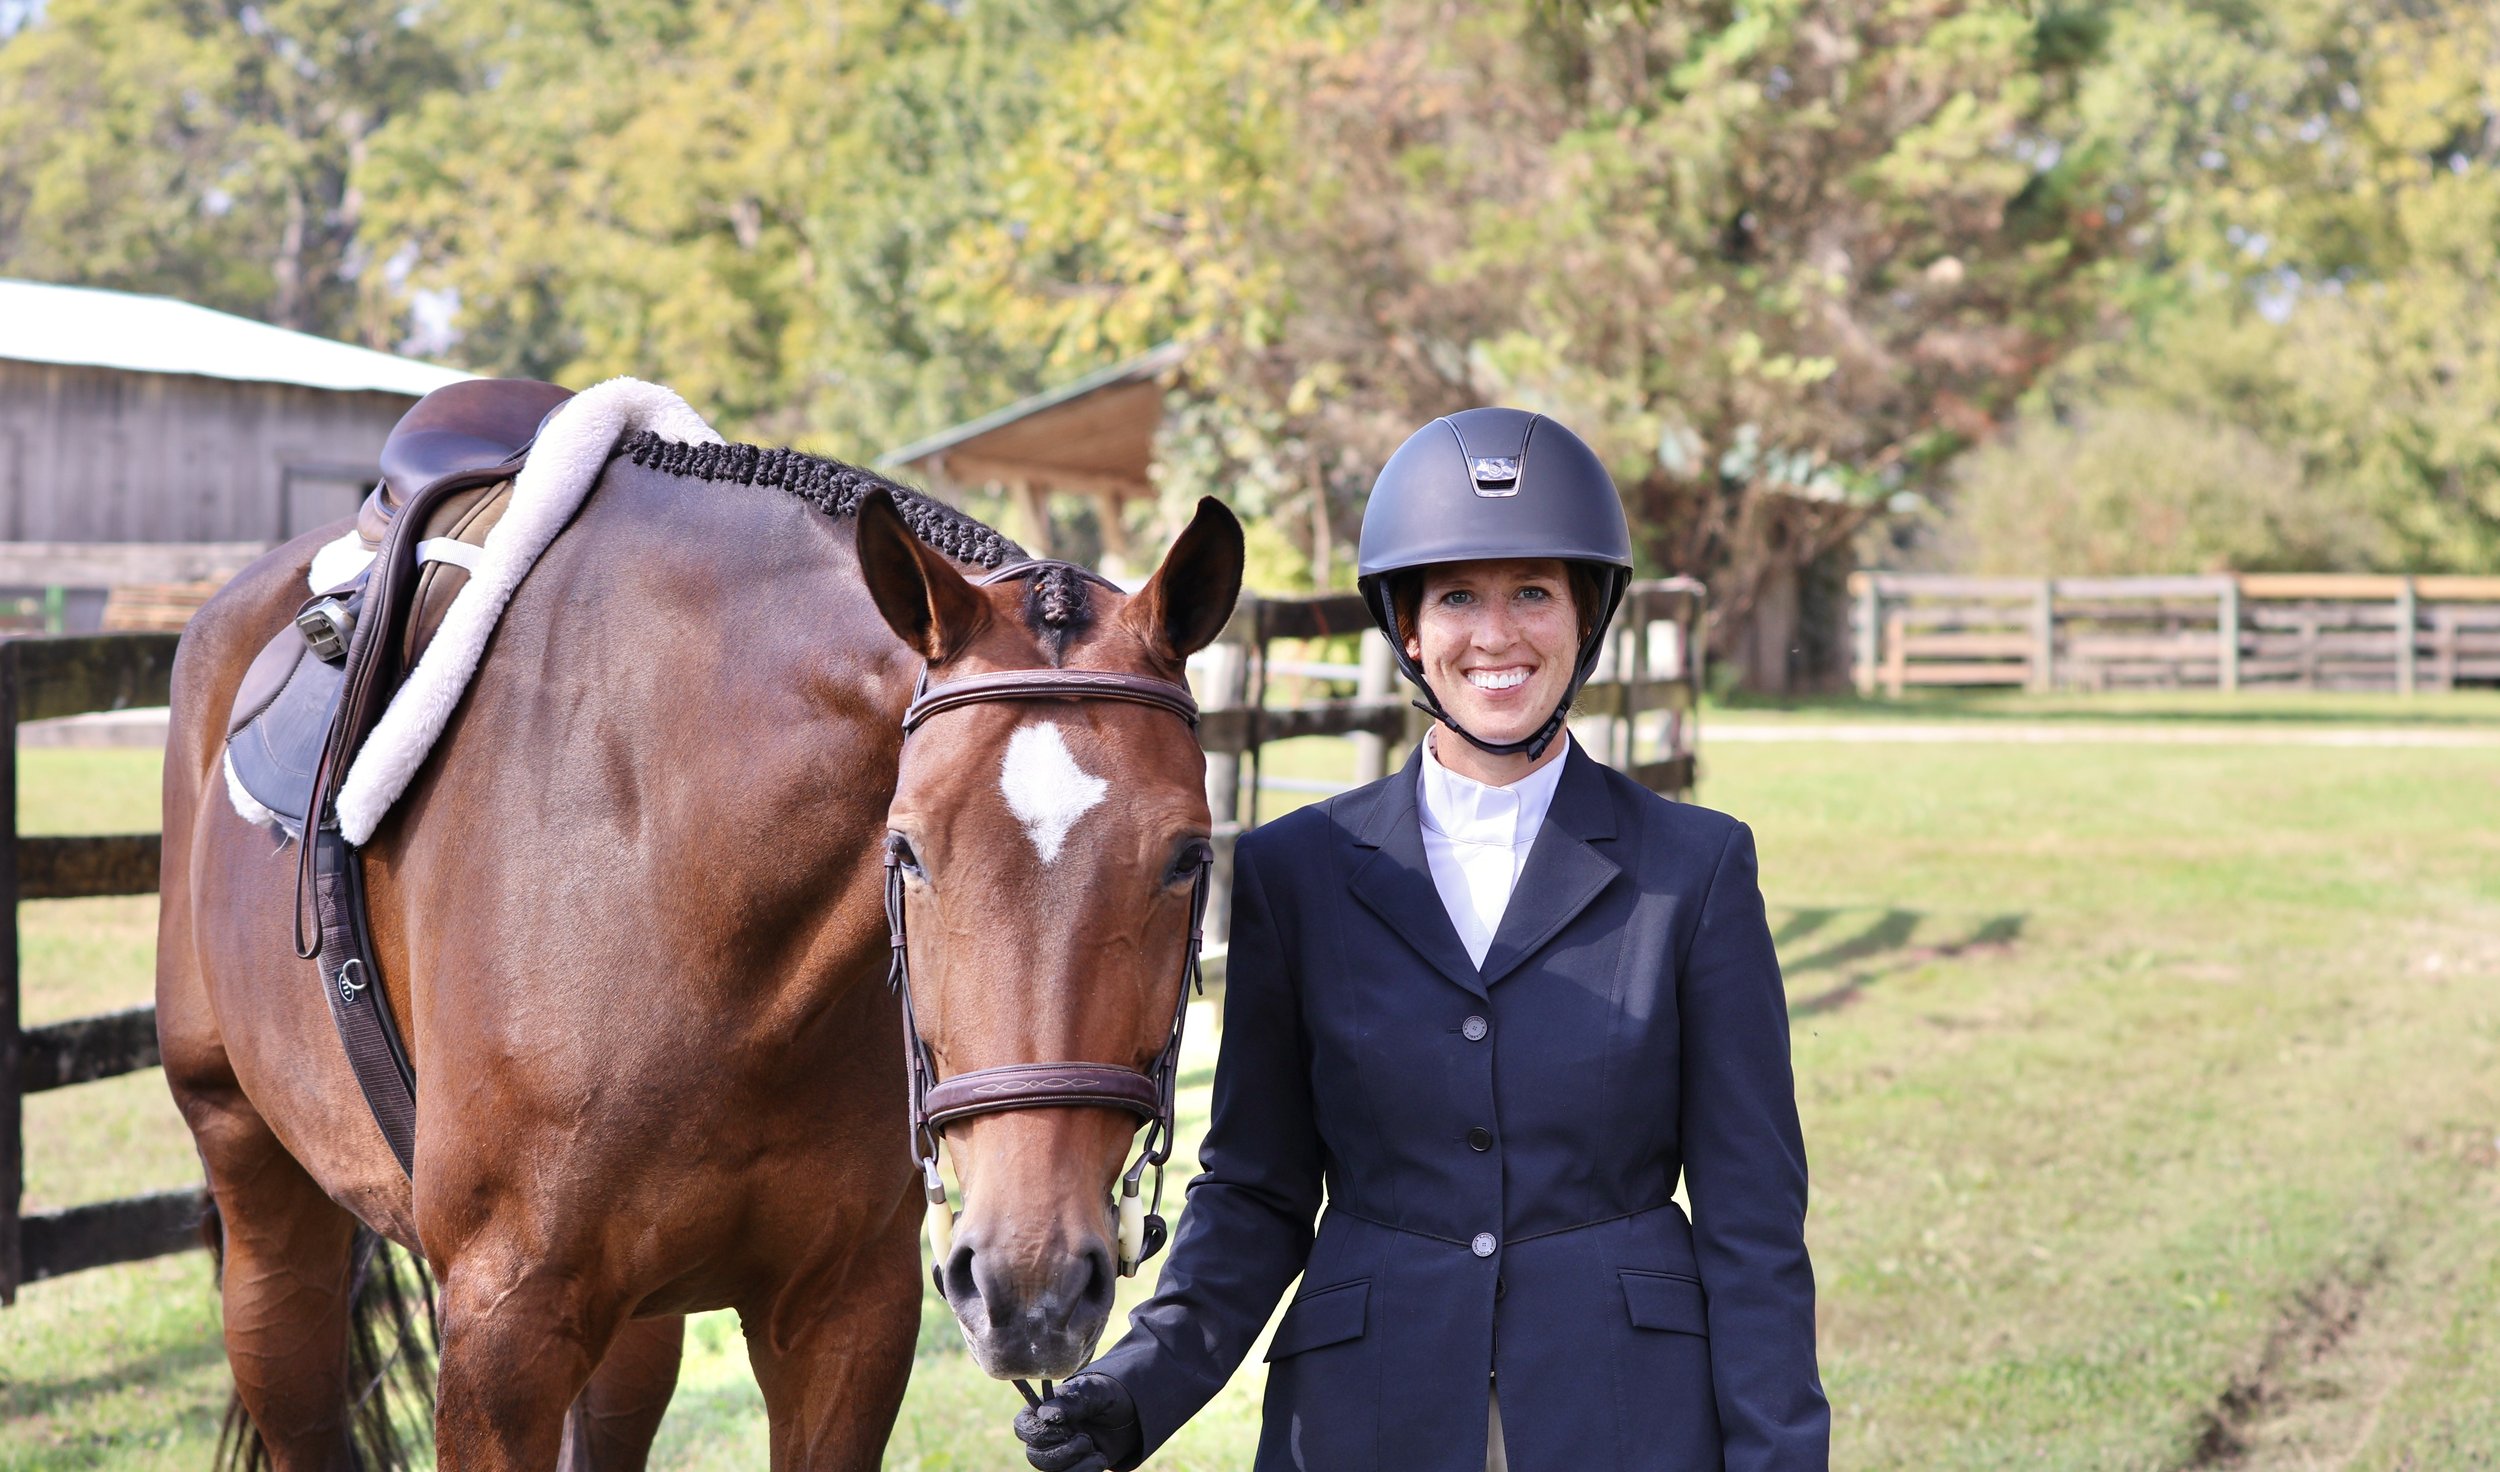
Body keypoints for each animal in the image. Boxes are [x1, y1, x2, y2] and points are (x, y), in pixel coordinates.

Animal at [156, 419, 1245, 1470]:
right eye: (905, 848)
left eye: (1190, 856)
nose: (1034, 1283)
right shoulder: (502, 1331)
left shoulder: (848, 1315)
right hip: (257, 1183)